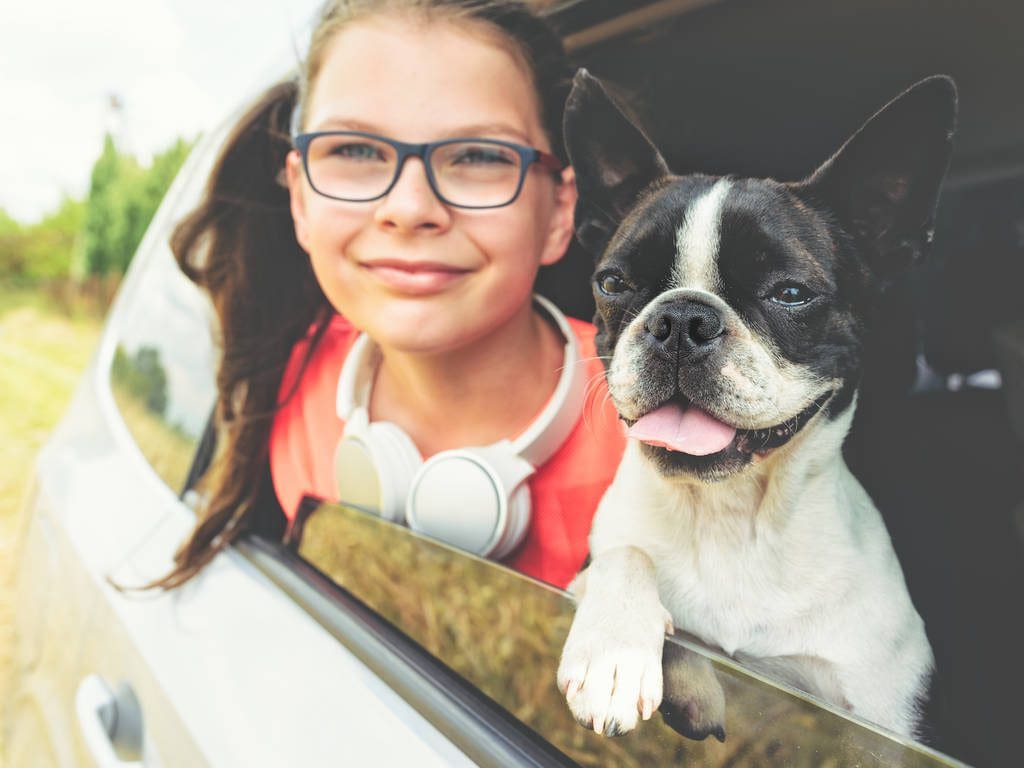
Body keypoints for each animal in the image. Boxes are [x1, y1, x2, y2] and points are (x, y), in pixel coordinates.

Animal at [557, 69, 954, 741]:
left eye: (791, 294)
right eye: (613, 283)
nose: (681, 319)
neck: (729, 515)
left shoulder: (883, 710)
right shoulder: (592, 563)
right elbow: (624, 556)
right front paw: (616, 653)